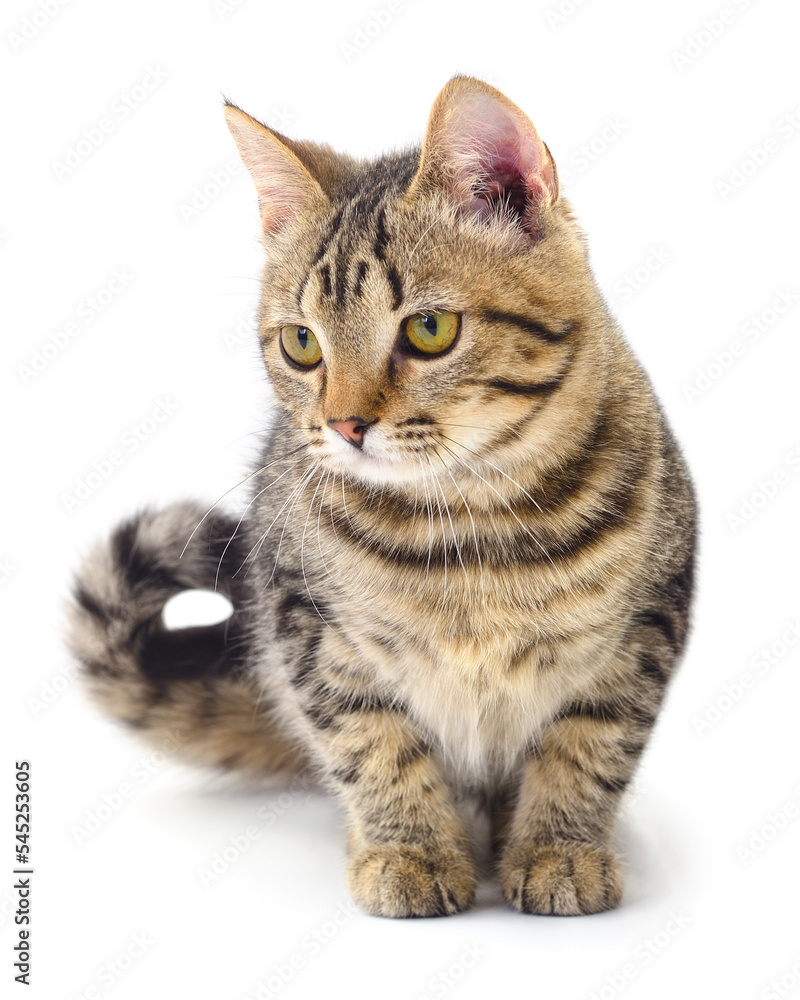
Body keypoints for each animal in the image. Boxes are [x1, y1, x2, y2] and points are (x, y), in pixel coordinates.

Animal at [67, 76, 692, 920]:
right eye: (302, 343)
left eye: (428, 329)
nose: (343, 424)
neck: (470, 518)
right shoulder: (309, 630)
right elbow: (373, 746)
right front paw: (409, 850)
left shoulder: (641, 632)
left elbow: (588, 747)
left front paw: (559, 847)